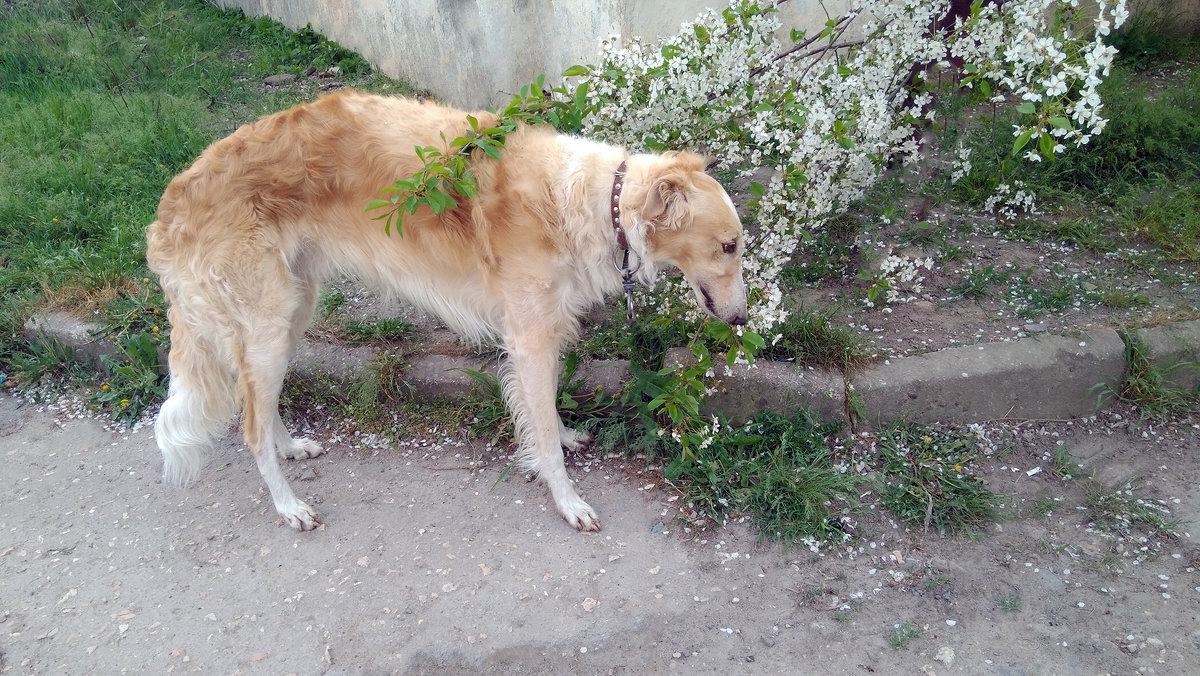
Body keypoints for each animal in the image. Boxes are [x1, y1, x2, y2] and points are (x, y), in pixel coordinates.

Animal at [145, 91, 744, 535]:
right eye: (730, 246)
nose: (740, 320)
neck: (592, 203)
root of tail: (170, 205)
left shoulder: (542, 333)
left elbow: (546, 412)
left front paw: (566, 438)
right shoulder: (529, 337)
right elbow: (543, 433)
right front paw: (569, 501)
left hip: (292, 313)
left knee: (259, 407)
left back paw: (292, 447)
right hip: (268, 324)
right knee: (248, 426)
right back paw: (290, 507)